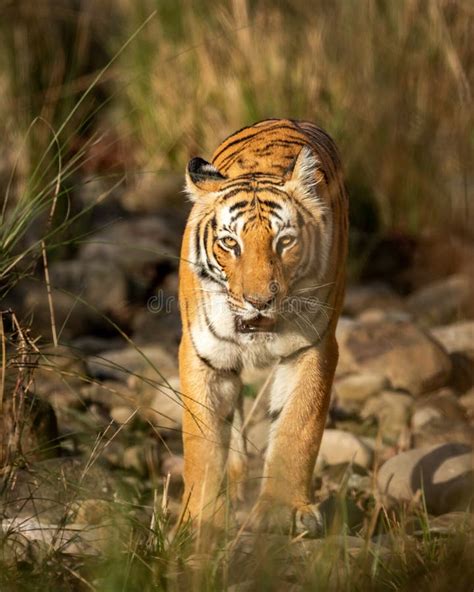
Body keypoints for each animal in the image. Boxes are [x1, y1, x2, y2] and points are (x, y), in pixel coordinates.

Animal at [178, 117, 348, 536]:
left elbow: (297, 427)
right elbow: (202, 441)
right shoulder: (202, 355)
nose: (259, 301)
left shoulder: (313, 347)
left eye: (284, 242)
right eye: (229, 243)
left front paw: (281, 511)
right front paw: (203, 517)